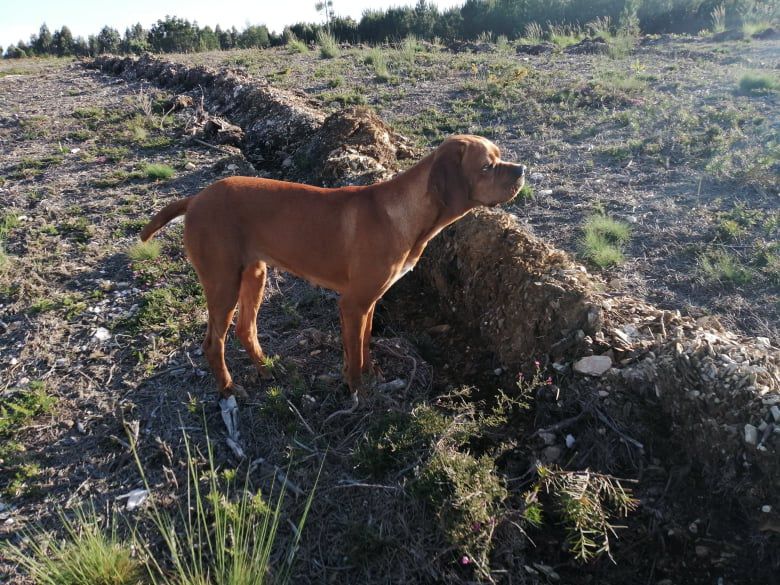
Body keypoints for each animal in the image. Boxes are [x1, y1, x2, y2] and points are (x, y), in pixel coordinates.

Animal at [141, 135, 532, 396]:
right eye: (487, 166)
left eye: (500, 157)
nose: (522, 169)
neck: (405, 214)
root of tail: (195, 198)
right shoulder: (353, 303)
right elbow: (355, 353)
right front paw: (357, 391)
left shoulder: (369, 302)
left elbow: (364, 344)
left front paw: (372, 375)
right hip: (223, 283)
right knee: (213, 343)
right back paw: (228, 388)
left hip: (255, 274)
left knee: (245, 330)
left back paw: (265, 369)